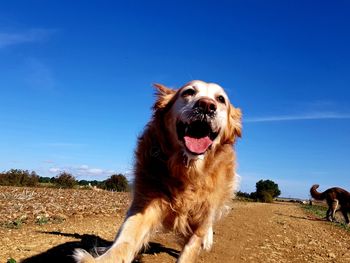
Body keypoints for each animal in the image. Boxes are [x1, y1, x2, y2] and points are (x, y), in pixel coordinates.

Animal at [74, 80, 241, 263]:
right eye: (189, 92)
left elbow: (191, 246)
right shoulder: (146, 201)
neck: (187, 170)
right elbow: (125, 240)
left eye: (221, 99)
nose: (206, 105)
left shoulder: (202, 216)